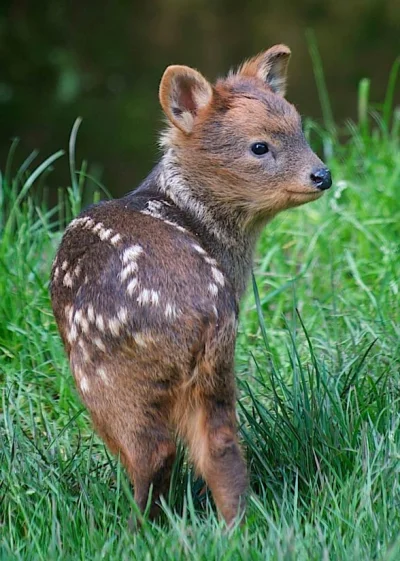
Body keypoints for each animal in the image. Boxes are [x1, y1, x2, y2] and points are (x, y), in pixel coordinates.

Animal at [50, 44, 332, 528]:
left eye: (299, 129)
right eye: (260, 146)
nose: (323, 175)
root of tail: (201, 314)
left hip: (105, 376)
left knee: (152, 451)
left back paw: (135, 527)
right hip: (216, 371)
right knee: (221, 447)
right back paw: (234, 526)